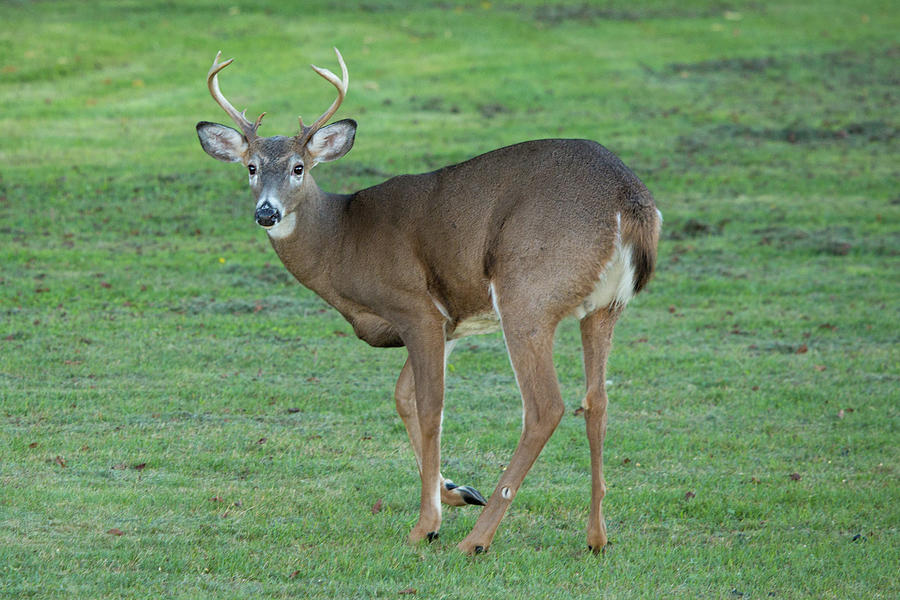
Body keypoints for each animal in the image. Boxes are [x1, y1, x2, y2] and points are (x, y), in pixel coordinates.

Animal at [197, 47, 660, 552]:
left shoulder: (415, 308)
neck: (342, 240)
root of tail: (630, 202)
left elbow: (430, 405)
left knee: (545, 407)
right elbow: (403, 397)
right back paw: (596, 536)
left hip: (528, 293)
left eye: (299, 167)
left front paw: (428, 523)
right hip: (604, 308)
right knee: (597, 400)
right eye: (251, 167)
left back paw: (476, 540)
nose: (267, 212)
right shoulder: (448, 321)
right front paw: (457, 491)